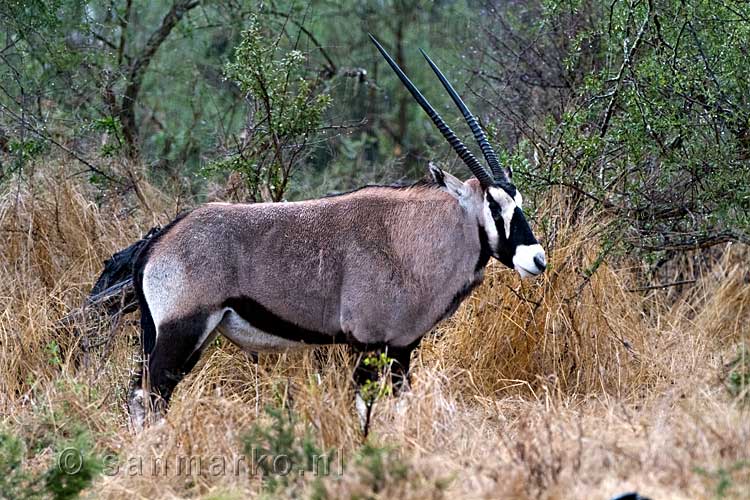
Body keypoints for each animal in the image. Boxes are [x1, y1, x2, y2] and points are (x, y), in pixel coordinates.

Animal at [129, 35, 548, 426]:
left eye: (519, 199)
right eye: (493, 205)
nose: (537, 259)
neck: (408, 240)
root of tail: (157, 245)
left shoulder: (401, 348)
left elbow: (400, 405)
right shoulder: (366, 343)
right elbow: (365, 408)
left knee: (139, 396)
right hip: (182, 331)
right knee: (150, 396)